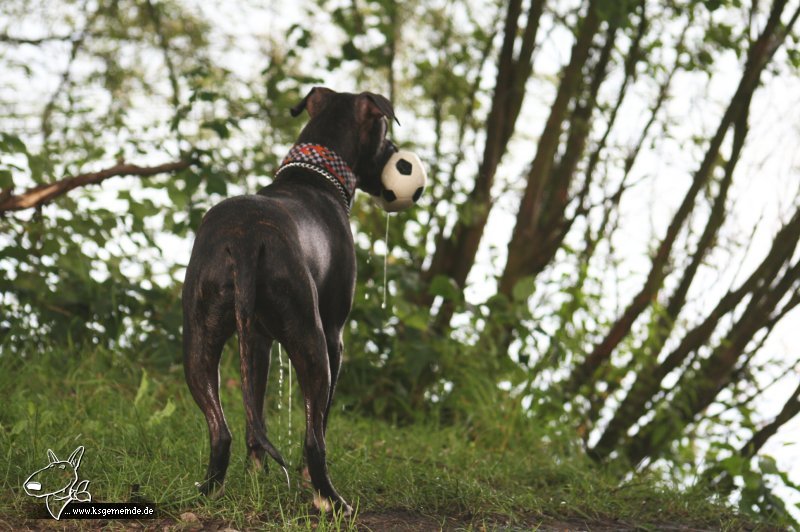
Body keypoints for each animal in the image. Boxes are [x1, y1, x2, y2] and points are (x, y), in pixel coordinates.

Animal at [183, 88, 398, 516]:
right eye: (384, 133)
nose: (397, 152)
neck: (314, 175)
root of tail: (247, 240)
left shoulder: (259, 341)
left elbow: (257, 416)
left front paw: (256, 477)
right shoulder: (334, 336)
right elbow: (321, 421)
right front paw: (303, 481)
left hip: (198, 340)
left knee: (221, 430)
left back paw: (209, 490)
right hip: (310, 340)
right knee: (315, 439)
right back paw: (331, 500)